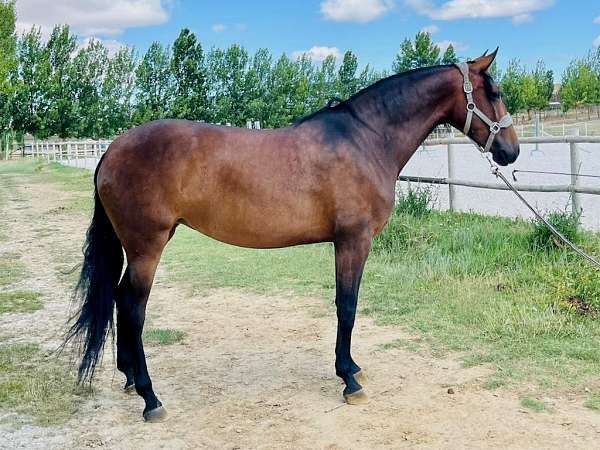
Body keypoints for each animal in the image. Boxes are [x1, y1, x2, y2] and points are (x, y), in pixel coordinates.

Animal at [64, 50, 516, 422]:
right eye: (493, 92)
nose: (510, 152)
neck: (366, 139)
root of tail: (112, 150)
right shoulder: (353, 241)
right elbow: (347, 307)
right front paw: (349, 380)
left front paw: (351, 368)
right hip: (147, 248)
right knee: (133, 308)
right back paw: (150, 398)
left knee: (120, 300)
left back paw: (128, 377)